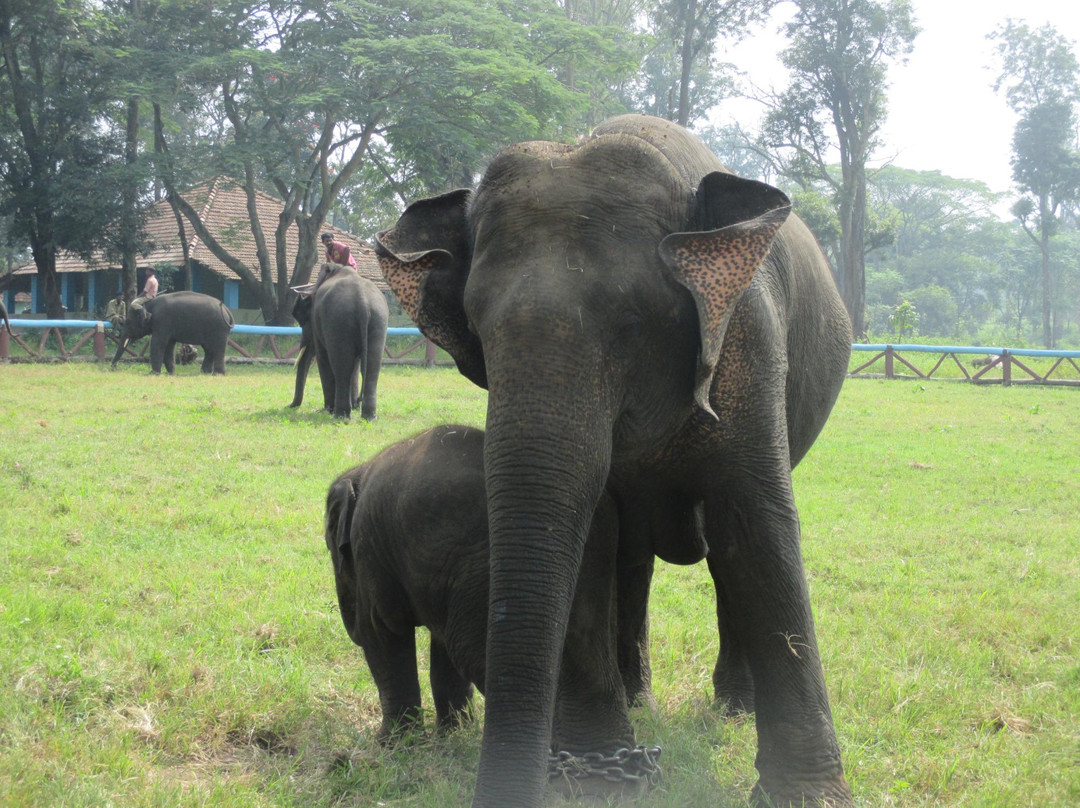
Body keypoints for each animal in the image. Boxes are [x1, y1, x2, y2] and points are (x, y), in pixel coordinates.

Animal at [287, 270, 388, 423]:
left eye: (302, 320)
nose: (289, 406)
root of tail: (363, 302)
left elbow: (323, 358)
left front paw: (325, 410)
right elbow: (355, 364)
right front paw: (354, 406)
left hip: (339, 322)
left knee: (342, 367)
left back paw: (339, 415)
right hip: (378, 320)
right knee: (371, 367)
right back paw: (369, 417)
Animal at [324, 425, 635, 760]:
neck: (359, 472)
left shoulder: (370, 548)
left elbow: (382, 631)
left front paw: (390, 745)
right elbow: (440, 645)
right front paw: (452, 734)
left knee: (470, 647)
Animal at [375, 115, 855, 808]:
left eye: (632, 322)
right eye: (476, 326)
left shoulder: (749, 347)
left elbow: (757, 525)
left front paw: (808, 796)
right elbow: (590, 536)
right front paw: (600, 771)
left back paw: (733, 708)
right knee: (631, 557)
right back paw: (637, 699)